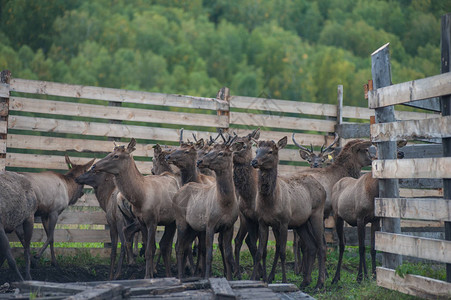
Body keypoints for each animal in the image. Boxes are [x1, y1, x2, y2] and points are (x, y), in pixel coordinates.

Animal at [92, 139, 180, 278]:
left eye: (116, 156)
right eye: (110, 152)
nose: (94, 166)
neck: (140, 197)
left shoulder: (152, 221)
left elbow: (149, 250)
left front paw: (148, 276)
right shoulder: (142, 222)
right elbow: (149, 250)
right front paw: (149, 275)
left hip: (175, 220)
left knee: (167, 246)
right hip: (169, 222)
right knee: (164, 245)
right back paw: (168, 274)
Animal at [173, 137, 240, 280]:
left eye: (221, 153)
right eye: (211, 150)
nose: (200, 161)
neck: (225, 203)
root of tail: (176, 193)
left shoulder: (229, 226)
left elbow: (228, 255)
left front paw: (230, 278)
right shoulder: (210, 224)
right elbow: (208, 254)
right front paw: (206, 277)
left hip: (192, 227)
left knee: (185, 246)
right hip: (181, 221)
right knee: (178, 247)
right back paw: (180, 276)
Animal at [251, 137, 328, 290]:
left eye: (270, 151)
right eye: (256, 151)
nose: (254, 161)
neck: (270, 202)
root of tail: (322, 188)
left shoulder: (284, 221)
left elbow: (282, 252)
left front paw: (284, 280)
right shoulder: (262, 222)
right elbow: (259, 252)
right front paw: (253, 279)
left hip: (317, 214)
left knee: (322, 246)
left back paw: (319, 284)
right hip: (301, 223)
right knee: (311, 246)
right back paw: (305, 281)